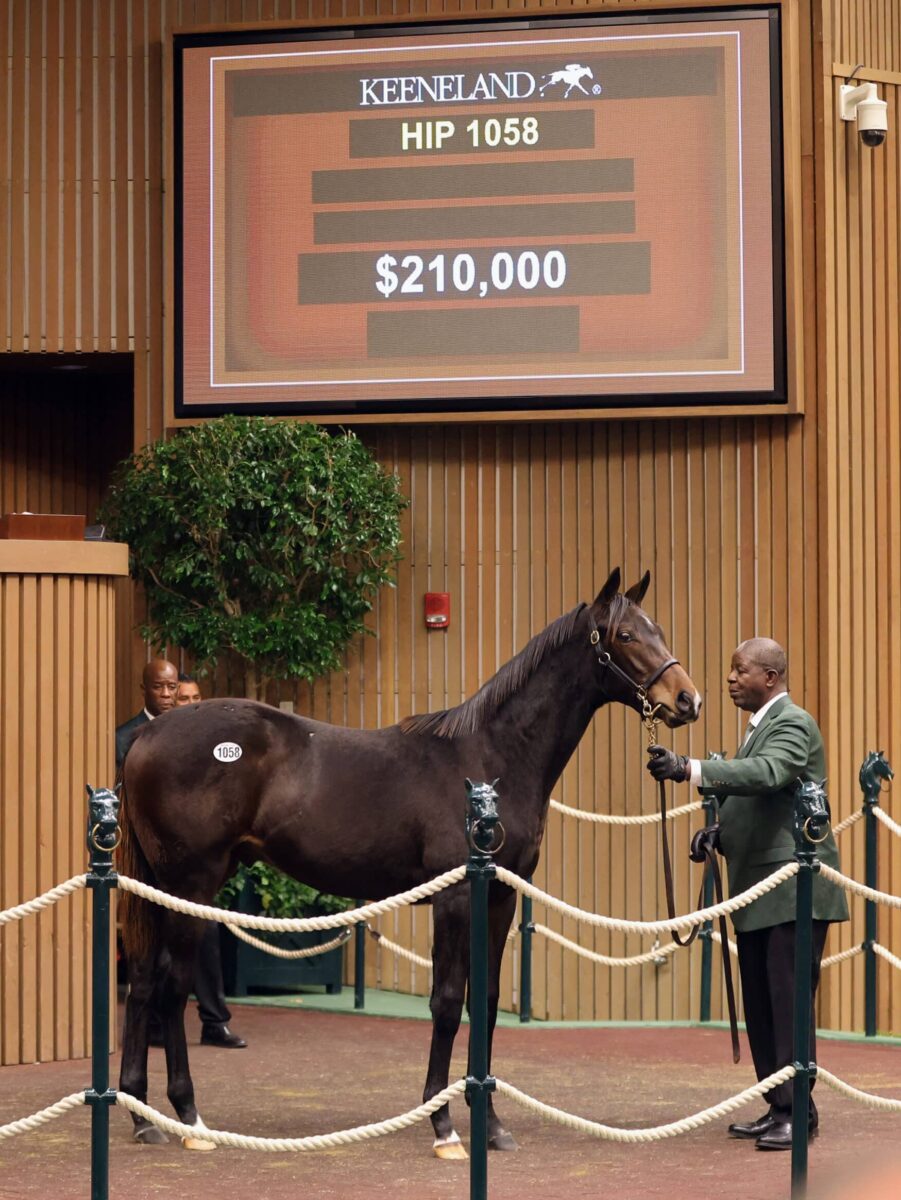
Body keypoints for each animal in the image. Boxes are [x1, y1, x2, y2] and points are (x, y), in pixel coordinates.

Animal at [118, 568, 695, 1152]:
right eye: (626, 636)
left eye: (659, 630)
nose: (686, 699)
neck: (492, 758)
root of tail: (148, 732)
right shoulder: (454, 898)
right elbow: (446, 1000)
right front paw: (442, 1125)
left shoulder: (501, 897)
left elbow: (484, 1000)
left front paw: (492, 1126)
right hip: (191, 885)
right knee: (172, 985)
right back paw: (189, 1117)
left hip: (159, 887)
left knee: (143, 980)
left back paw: (143, 1116)